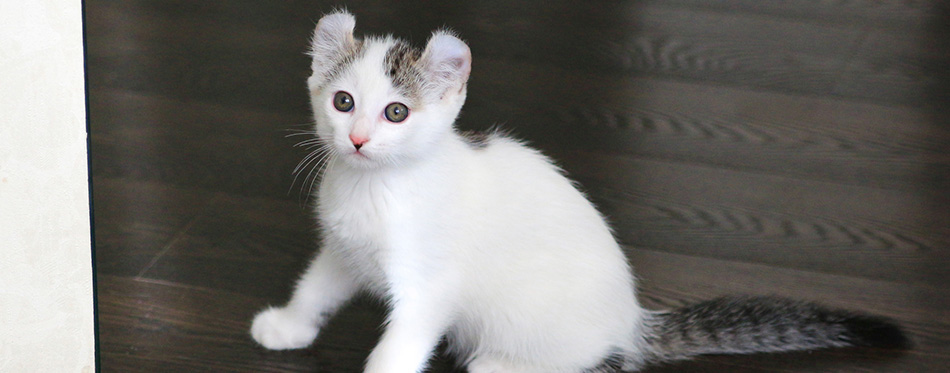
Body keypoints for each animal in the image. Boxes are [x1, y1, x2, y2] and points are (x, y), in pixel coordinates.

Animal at [249, 11, 912, 372]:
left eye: (395, 112)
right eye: (343, 102)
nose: (358, 139)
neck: (374, 187)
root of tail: (632, 318)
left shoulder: (430, 287)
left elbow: (400, 343)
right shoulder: (343, 251)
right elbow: (317, 287)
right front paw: (289, 325)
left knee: (598, 359)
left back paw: (501, 361)